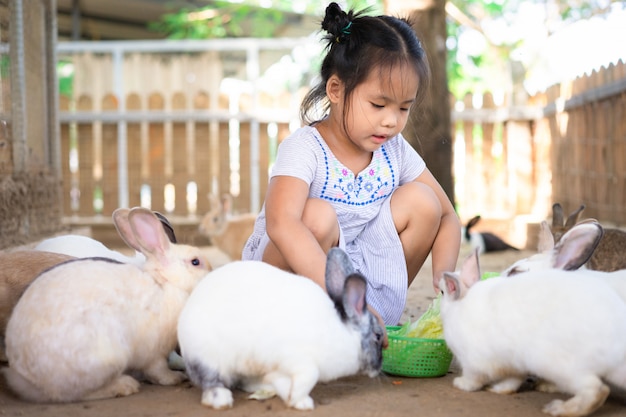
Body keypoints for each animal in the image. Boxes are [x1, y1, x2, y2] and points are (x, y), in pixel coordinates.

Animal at [2, 206, 213, 402]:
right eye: (196, 262)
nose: (211, 273)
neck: (164, 284)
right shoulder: (153, 350)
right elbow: (157, 369)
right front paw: (175, 377)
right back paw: (124, 385)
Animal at [177, 247, 386, 410]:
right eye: (377, 336)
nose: (378, 369)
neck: (342, 332)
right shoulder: (300, 362)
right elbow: (308, 379)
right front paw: (301, 402)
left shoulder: (279, 370)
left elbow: (283, 383)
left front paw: (293, 399)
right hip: (209, 360)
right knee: (210, 382)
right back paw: (221, 400)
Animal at [436, 249, 624, 414]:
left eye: (443, 291)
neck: (461, 303)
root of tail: (616, 349)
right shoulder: (514, 364)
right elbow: (513, 381)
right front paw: (497, 389)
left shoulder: (472, 362)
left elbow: (474, 378)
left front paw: (461, 384)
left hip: (559, 366)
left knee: (597, 391)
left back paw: (559, 409)